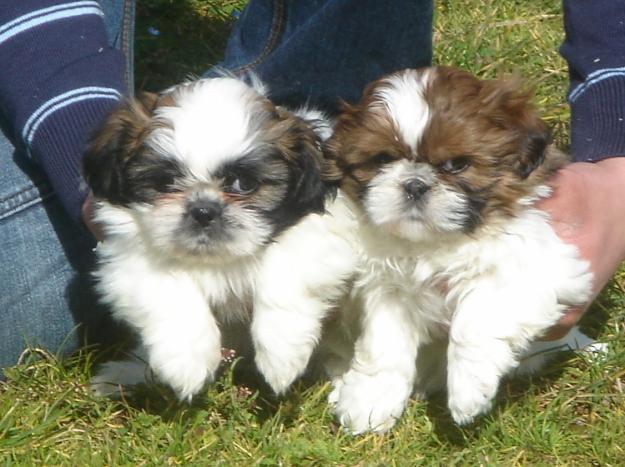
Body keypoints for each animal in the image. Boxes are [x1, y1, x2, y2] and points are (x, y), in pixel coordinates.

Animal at [84, 77, 356, 402]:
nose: (203, 210)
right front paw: (187, 363)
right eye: (165, 182)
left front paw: (281, 356)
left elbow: (283, 270)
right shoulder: (128, 259)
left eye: (244, 184)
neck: (219, 260)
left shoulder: (326, 233)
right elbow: (171, 290)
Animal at [324, 66, 592, 436]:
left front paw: (468, 389)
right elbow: (383, 343)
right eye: (383, 159)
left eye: (456, 165)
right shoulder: (389, 289)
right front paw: (370, 400)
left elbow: (476, 317)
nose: (414, 184)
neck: (436, 242)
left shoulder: (540, 262)